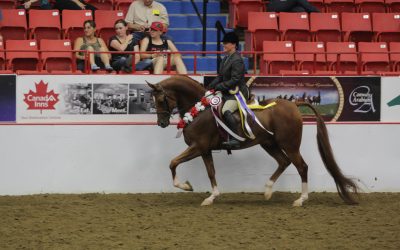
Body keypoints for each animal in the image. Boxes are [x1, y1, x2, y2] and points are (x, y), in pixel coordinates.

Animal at [146, 75, 356, 206]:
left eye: (161, 100)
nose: (161, 123)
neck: (200, 109)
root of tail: (294, 105)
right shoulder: (205, 150)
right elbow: (211, 172)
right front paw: (211, 197)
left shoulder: (198, 147)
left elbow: (173, 163)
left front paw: (185, 186)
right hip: (269, 143)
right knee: (284, 162)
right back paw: (268, 190)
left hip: (290, 144)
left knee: (301, 167)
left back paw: (300, 200)